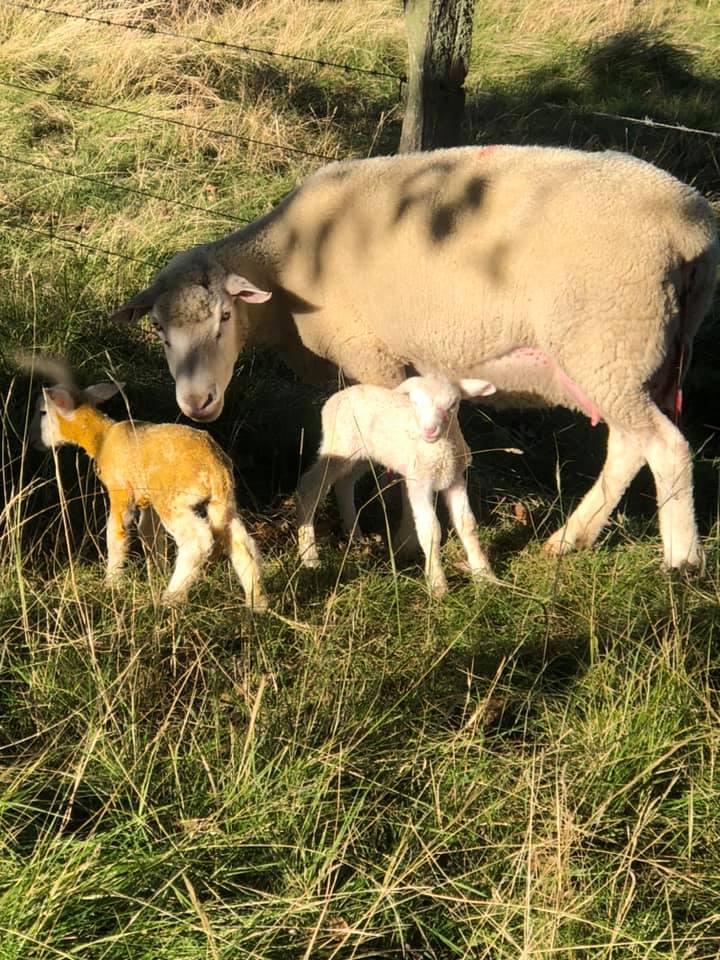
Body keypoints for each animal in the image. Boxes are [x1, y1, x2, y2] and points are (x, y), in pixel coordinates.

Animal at [29, 360, 267, 609]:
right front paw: (157, 571)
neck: (101, 438)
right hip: (222, 502)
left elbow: (116, 534)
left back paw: (170, 598)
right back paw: (257, 604)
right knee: (243, 545)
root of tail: (216, 469)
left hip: (172, 498)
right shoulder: (148, 500)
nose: (32, 441)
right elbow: (150, 534)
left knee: (196, 541)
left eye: (43, 412)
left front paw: (112, 583)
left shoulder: (121, 490)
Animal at [110, 144, 719, 573]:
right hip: (630, 360)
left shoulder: (375, 354)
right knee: (629, 446)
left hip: (608, 343)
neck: (286, 267)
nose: (198, 402)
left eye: (224, 318)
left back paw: (680, 561)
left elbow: (393, 455)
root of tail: (691, 223)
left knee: (664, 447)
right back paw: (570, 540)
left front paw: (402, 540)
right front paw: (359, 529)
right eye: (159, 330)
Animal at [296, 375, 498, 596]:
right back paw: (310, 556)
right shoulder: (419, 483)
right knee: (310, 487)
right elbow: (430, 530)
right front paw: (438, 585)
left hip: (361, 455)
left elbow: (467, 524)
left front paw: (485, 576)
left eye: (452, 404)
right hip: (339, 446)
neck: (438, 451)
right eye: (415, 402)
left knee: (344, 485)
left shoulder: (455, 479)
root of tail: (337, 396)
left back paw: (355, 536)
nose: (429, 431)